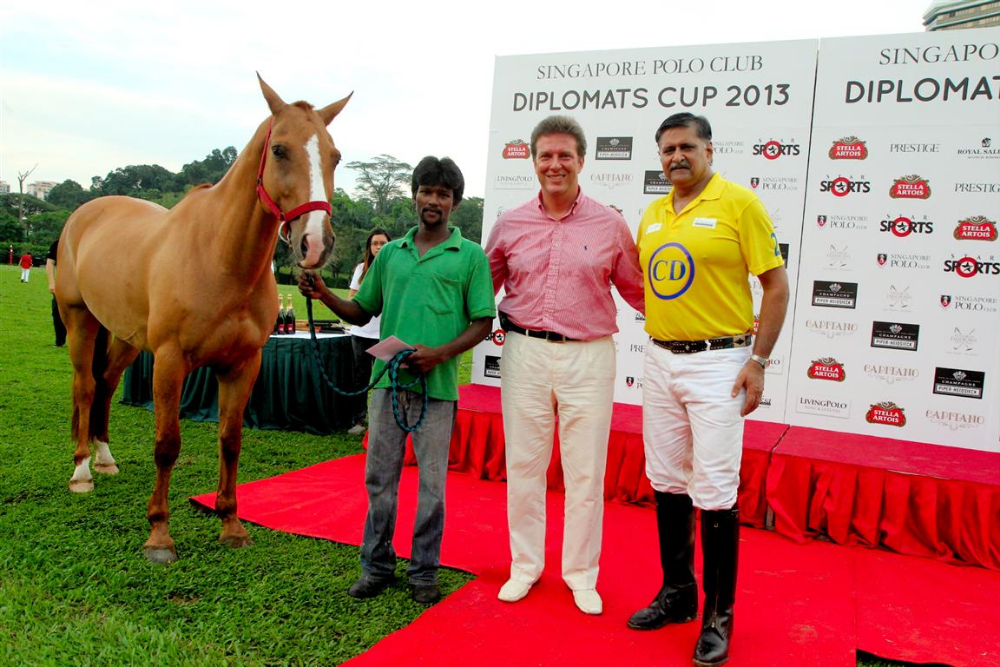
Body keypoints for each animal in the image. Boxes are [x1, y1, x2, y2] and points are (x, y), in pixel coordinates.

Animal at [55, 76, 350, 563]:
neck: (221, 256)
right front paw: (159, 534)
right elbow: (167, 444)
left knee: (106, 385)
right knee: (85, 387)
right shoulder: (170, 363)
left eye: (335, 155)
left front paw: (230, 523)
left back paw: (104, 458)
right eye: (279, 150)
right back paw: (82, 472)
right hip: (81, 322)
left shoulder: (243, 365)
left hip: (126, 339)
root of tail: (85, 212)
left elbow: (230, 441)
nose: (316, 244)